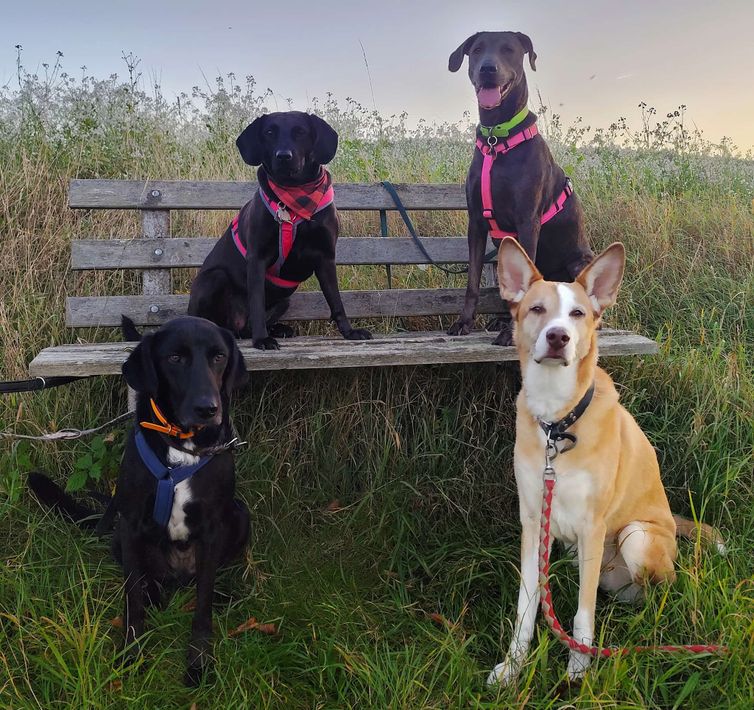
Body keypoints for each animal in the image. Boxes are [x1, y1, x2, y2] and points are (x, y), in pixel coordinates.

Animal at [28, 316, 251, 685]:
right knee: (147, 580)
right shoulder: (131, 524)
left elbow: (203, 602)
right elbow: (132, 597)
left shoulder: (213, 527)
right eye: (175, 358)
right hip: (120, 534)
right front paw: (132, 654)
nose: (208, 409)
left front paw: (198, 661)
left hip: (240, 515)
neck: (181, 447)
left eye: (219, 357)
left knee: (204, 579)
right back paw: (155, 596)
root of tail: (178, 577)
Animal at [188, 111, 372, 350]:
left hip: (285, 301)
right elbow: (257, 303)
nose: (283, 156)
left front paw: (349, 332)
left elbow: (336, 300)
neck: (296, 198)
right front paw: (262, 339)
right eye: (269, 132)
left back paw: (280, 329)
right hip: (214, 278)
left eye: (300, 132)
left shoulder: (326, 257)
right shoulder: (257, 258)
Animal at [446, 31, 593, 346]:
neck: (497, 138)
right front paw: (464, 322)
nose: (488, 69)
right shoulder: (476, 223)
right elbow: (472, 281)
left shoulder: (528, 221)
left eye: (509, 50)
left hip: (581, 262)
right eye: (477, 50)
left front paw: (509, 334)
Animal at [487, 237, 725, 685]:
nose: (558, 337)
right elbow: (527, 604)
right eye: (537, 309)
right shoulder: (533, 520)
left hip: (636, 536)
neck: (558, 423)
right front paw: (513, 666)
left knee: (655, 590)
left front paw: (578, 666)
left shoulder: (592, 525)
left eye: (578, 313)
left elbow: (583, 611)